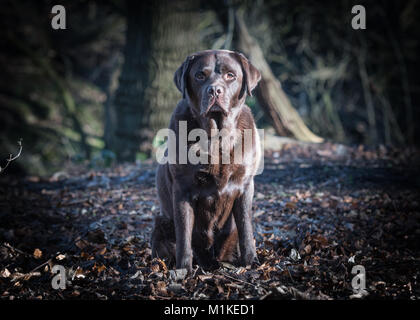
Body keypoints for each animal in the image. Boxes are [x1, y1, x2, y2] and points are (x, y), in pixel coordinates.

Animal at [153, 49, 260, 270]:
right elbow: (184, 235)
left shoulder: (245, 185)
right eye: (200, 75)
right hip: (161, 223)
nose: (215, 90)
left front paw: (250, 261)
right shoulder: (182, 189)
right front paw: (183, 269)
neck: (217, 138)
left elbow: (246, 228)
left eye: (230, 75)